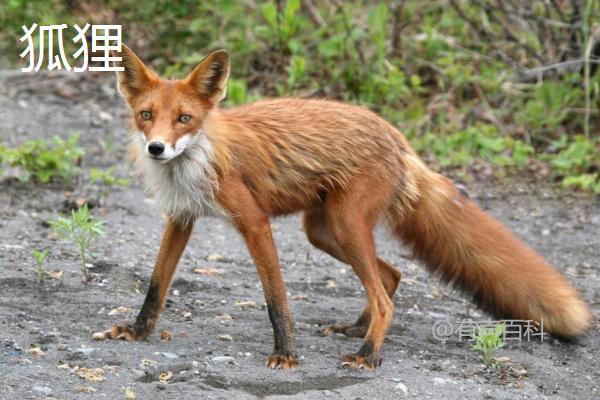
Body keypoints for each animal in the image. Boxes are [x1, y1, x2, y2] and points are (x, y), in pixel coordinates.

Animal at [98, 44, 592, 368]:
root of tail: (397, 137)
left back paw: (367, 354)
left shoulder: (254, 222)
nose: (157, 148)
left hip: (345, 224)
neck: (197, 159)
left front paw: (286, 354)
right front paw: (137, 331)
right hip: (324, 230)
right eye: (146, 115)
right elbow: (156, 286)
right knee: (391, 276)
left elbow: (276, 298)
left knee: (385, 295)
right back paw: (359, 330)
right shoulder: (181, 217)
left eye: (184, 118)